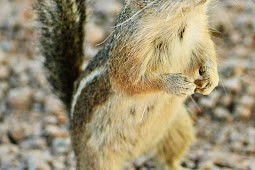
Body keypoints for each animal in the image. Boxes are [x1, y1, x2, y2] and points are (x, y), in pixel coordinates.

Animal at [35, 0, 219, 169]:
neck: (181, 22)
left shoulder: (201, 34)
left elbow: (208, 51)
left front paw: (211, 80)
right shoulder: (129, 52)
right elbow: (132, 80)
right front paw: (177, 84)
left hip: (179, 128)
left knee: (165, 159)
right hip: (97, 159)